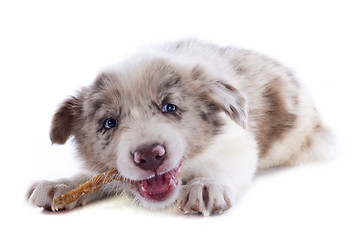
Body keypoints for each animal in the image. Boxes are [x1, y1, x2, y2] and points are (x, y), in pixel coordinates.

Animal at [26, 39, 332, 216]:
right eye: (109, 123)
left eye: (170, 107)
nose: (150, 155)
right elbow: (97, 176)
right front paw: (63, 184)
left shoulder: (238, 139)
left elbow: (224, 163)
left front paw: (206, 184)